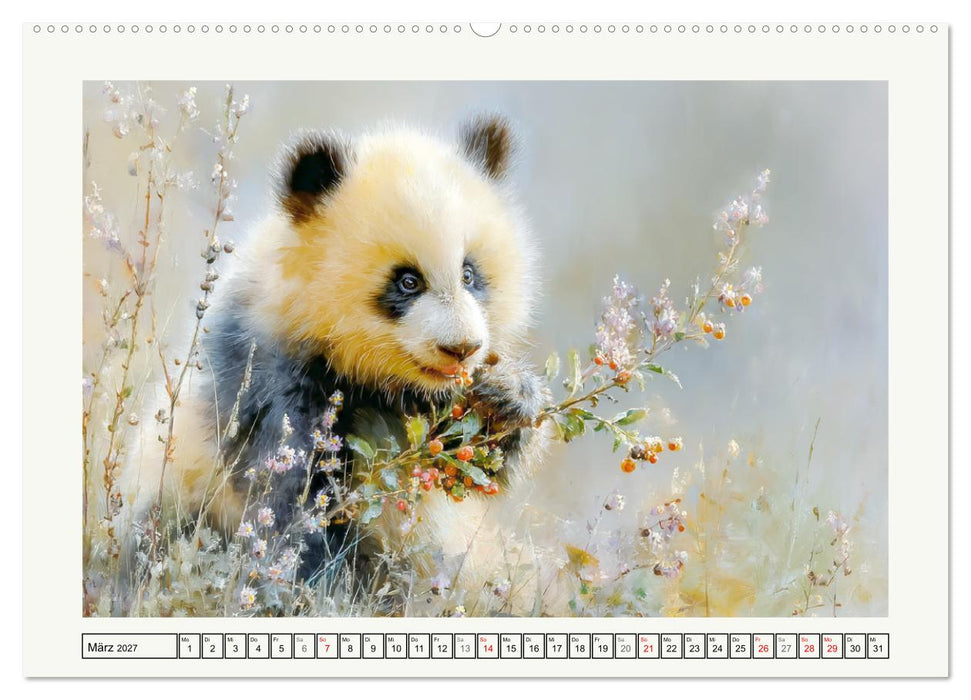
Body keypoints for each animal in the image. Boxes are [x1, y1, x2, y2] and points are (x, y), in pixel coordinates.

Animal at [126, 115, 550, 611]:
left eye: (469, 273)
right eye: (407, 281)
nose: (461, 348)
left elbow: (480, 465)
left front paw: (506, 396)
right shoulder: (273, 380)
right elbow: (293, 503)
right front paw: (331, 593)